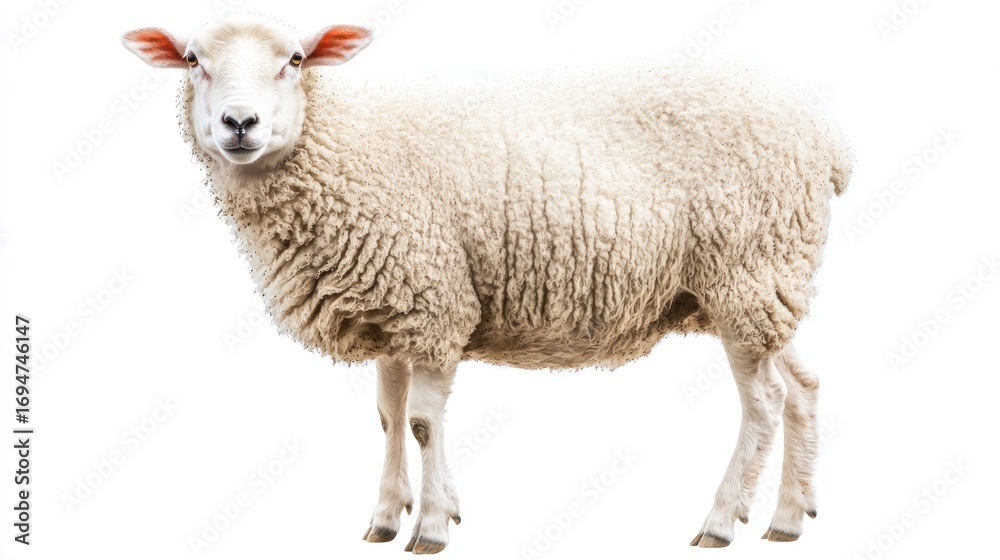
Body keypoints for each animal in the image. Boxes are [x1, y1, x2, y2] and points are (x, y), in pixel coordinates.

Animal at [122, 14, 851, 553]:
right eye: (193, 59)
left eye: (296, 60)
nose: (238, 124)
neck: (341, 149)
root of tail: (825, 139)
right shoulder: (390, 306)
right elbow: (387, 416)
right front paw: (386, 516)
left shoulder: (433, 303)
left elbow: (421, 422)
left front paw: (432, 526)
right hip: (764, 286)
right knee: (804, 387)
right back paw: (789, 517)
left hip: (744, 271)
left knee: (763, 402)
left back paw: (721, 523)